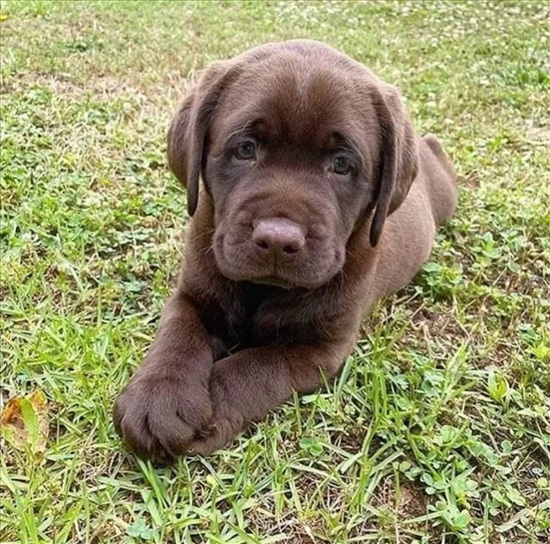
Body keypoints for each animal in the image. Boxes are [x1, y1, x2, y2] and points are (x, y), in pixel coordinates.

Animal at [112, 40, 458, 462]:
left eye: (341, 164)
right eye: (245, 149)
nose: (278, 239)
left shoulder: (319, 348)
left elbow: (256, 367)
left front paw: (211, 408)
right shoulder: (193, 294)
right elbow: (178, 335)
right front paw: (159, 397)